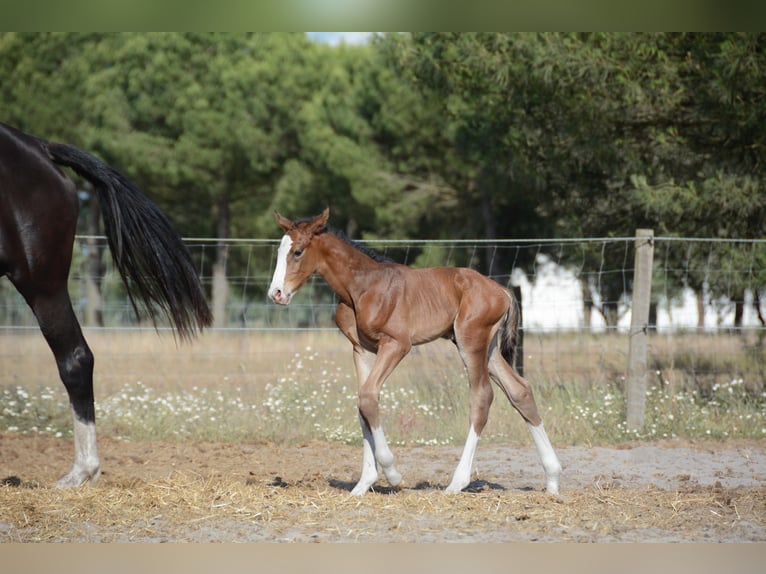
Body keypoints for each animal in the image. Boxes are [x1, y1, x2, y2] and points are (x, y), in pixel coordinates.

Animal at [270, 209, 564, 498]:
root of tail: (502, 290)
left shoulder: (397, 344)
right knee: (520, 391)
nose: (276, 294)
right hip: (486, 347)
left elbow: (368, 397)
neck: (362, 287)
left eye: (298, 252)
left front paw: (392, 474)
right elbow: (363, 404)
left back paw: (457, 482)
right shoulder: (360, 349)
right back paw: (552, 479)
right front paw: (364, 483)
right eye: (279, 250)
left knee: (482, 396)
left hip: (471, 341)